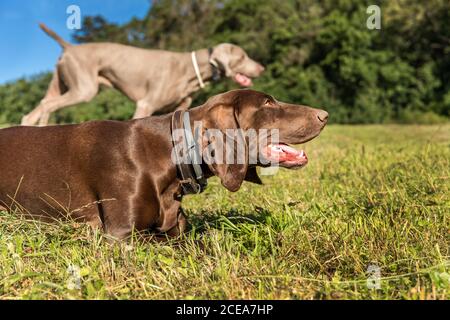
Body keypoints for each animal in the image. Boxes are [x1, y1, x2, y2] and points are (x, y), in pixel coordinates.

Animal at [21, 23, 266, 126]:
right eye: (243, 56)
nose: (261, 68)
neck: (191, 68)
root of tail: (69, 47)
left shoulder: (176, 109)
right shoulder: (145, 104)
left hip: (59, 85)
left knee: (33, 112)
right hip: (84, 89)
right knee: (46, 107)